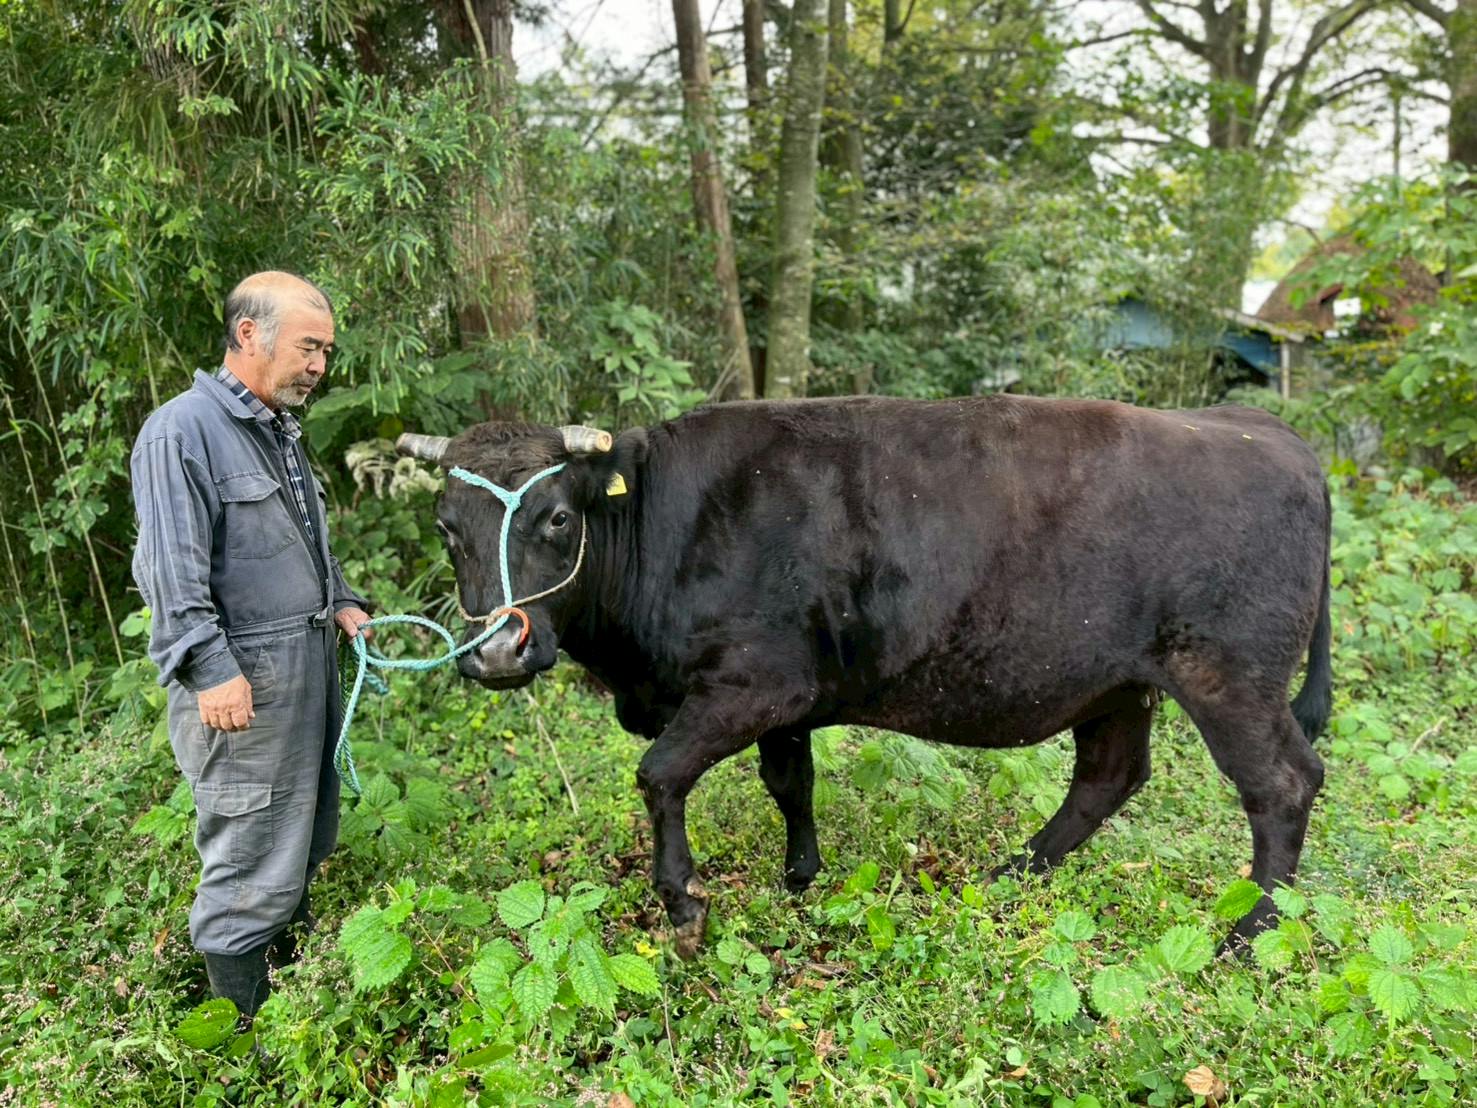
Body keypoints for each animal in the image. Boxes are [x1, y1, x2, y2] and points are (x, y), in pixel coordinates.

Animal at [397, 395, 1332, 958]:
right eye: (445, 527)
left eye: (557, 517)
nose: (495, 652)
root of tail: (1260, 426)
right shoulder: (789, 700)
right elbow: (791, 783)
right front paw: (800, 877)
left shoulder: (750, 686)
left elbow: (659, 773)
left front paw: (685, 903)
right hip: (1115, 682)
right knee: (1108, 777)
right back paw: (1012, 875)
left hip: (1226, 674)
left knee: (1282, 784)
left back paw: (1251, 930)